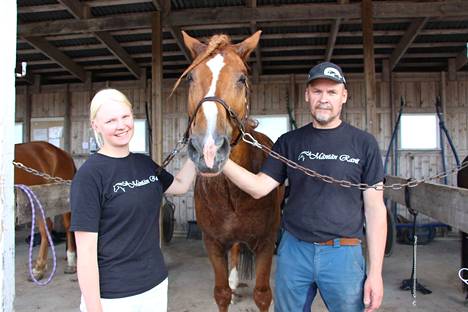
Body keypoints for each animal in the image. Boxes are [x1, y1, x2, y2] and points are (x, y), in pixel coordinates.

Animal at [174, 31, 284, 310]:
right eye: (190, 78)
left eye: (242, 78)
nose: (209, 149)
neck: (231, 191)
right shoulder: (213, 244)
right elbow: (221, 293)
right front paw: (230, 289)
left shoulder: (266, 243)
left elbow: (262, 295)